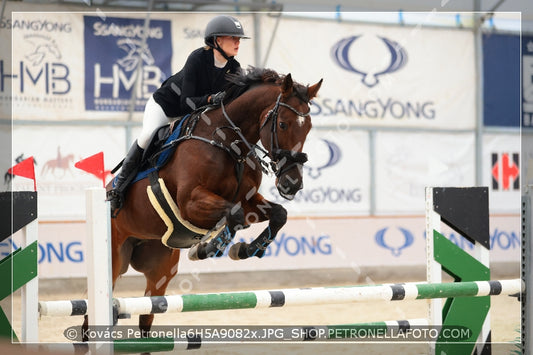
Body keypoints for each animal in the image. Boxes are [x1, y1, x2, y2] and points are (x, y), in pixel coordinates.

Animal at [87, 69, 320, 336]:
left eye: (308, 128)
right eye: (282, 124)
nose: (292, 184)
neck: (228, 141)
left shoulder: (248, 201)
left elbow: (277, 214)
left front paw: (246, 250)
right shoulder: (190, 203)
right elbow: (234, 216)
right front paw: (208, 249)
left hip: (160, 269)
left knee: (147, 315)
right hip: (114, 259)